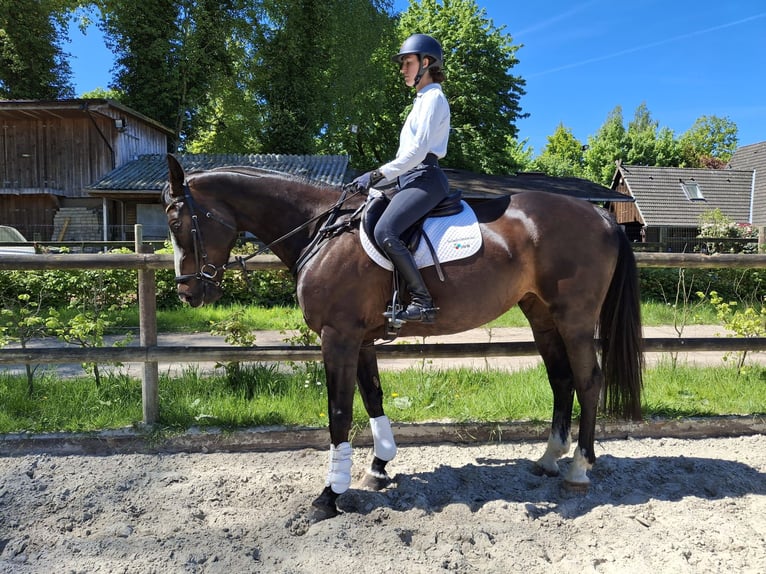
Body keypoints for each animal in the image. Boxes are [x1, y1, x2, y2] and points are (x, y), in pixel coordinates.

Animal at [161, 153, 643, 521]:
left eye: (177, 221)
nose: (188, 292)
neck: (321, 231)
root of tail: (602, 215)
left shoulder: (338, 337)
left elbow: (338, 412)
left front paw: (329, 496)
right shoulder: (359, 339)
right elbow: (372, 398)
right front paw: (378, 468)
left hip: (574, 319)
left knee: (589, 381)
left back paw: (578, 468)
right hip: (541, 315)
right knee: (561, 380)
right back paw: (547, 460)